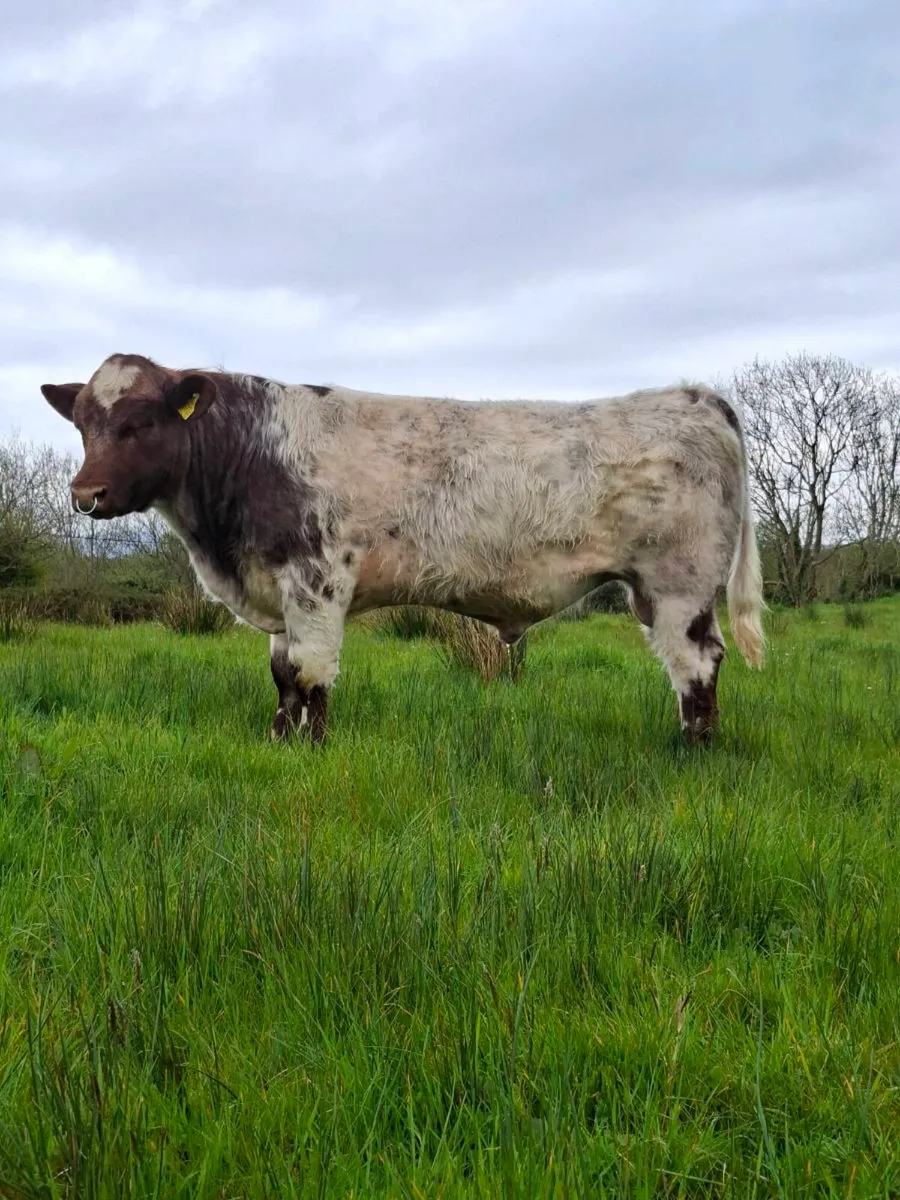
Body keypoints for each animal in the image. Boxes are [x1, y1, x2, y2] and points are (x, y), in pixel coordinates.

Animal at [40, 353, 764, 745]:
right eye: (83, 425)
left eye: (141, 422)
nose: (85, 494)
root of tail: (695, 395)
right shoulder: (278, 589)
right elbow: (282, 676)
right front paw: (278, 740)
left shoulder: (317, 581)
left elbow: (310, 673)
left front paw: (312, 748)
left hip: (680, 583)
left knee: (698, 662)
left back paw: (695, 745)